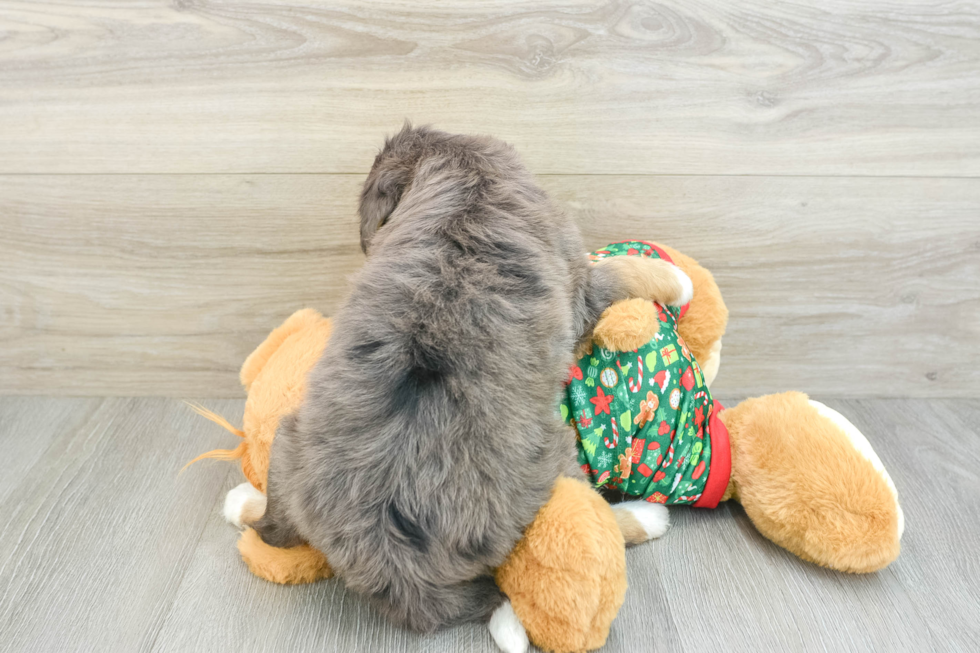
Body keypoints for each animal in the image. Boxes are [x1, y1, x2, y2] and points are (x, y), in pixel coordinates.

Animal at [247, 126, 688, 636]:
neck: (464, 173)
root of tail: (391, 564)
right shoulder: (579, 290)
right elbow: (619, 271)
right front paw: (677, 278)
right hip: (551, 460)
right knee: (596, 518)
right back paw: (646, 515)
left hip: (289, 439)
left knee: (274, 530)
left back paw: (247, 504)